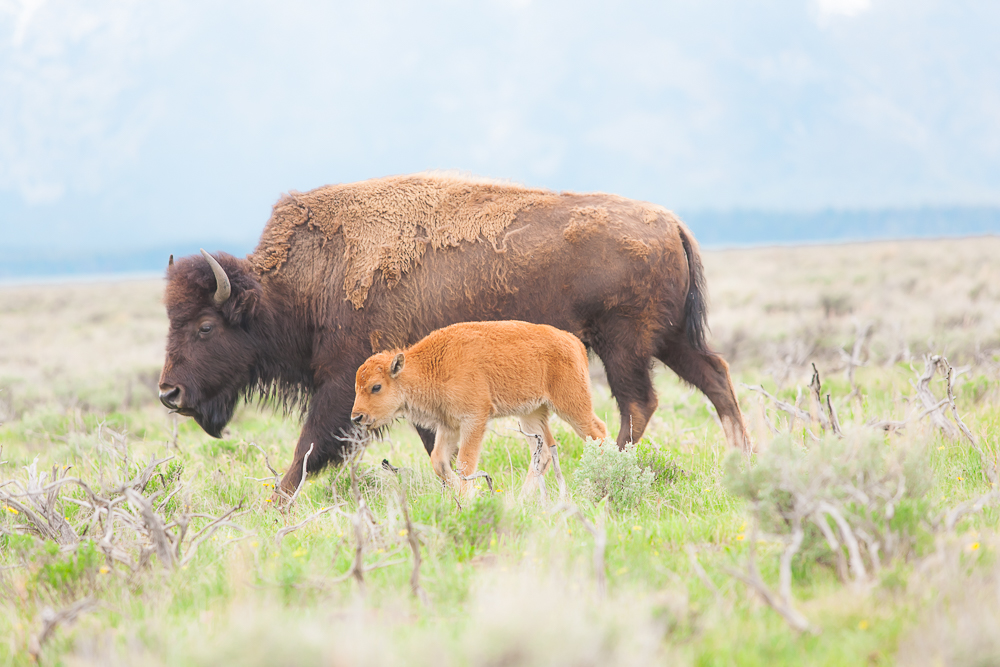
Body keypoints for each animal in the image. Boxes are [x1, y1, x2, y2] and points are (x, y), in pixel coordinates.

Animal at [352, 320, 604, 498]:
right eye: (357, 387)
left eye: (376, 386)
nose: (357, 417)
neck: (433, 364)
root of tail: (573, 342)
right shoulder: (449, 425)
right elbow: (439, 461)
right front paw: (463, 493)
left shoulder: (474, 419)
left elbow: (464, 464)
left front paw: (466, 498)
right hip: (530, 415)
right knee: (543, 453)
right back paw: (522, 499)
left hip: (572, 406)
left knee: (597, 433)